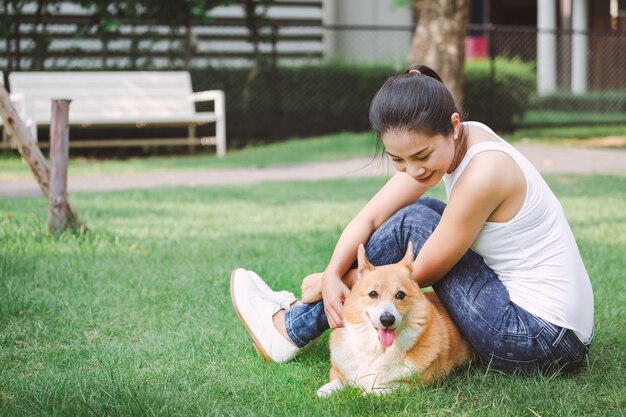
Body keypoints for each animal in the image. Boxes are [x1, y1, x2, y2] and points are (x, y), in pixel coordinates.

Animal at [314, 240, 470, 396]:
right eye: (373, 294)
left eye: (400, 295)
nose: (387, 320)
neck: (378, 349)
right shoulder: (340, 369)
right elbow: (340, 379)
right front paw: (326, 390)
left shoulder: (413, 385)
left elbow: (382, 387)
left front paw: (364, 392)